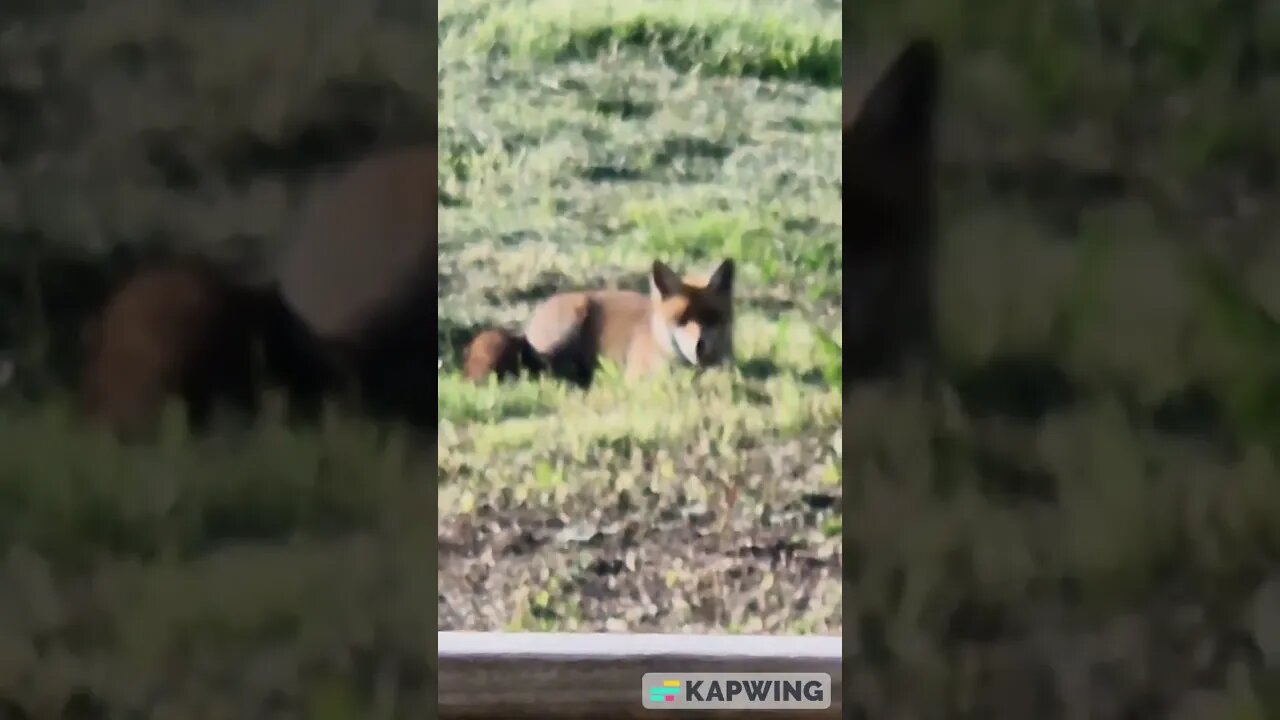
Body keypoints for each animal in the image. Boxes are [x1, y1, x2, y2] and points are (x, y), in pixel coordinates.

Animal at [463, 258, 734, 388]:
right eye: (680, 320)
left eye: (713, 317)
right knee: (543, 371)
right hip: (565, 331)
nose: (700, 346)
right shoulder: (639, 380)